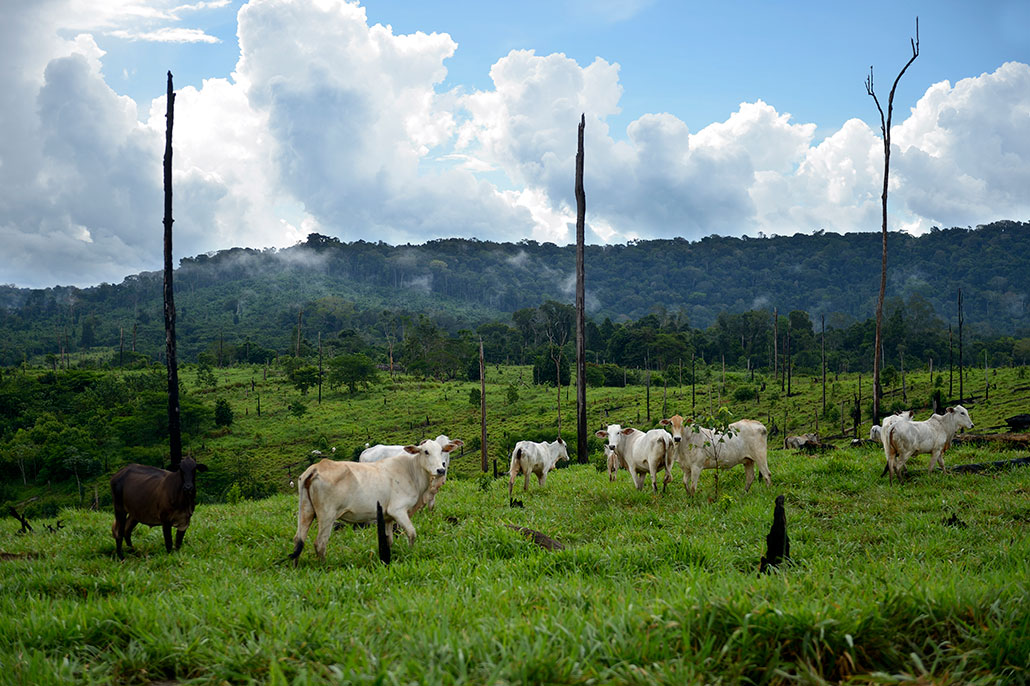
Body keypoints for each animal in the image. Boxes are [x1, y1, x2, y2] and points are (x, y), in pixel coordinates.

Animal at [286, 438, 455, 560]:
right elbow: (412, 533)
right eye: (426, 452)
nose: (441, 469)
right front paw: (411, 553)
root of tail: (316, 468)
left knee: (298, 539)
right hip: (327, 516)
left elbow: (389, 540)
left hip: (306, 511)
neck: (411, 471)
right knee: (320, 543)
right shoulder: (398, 510)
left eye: (442, 451)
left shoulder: (387, 517)